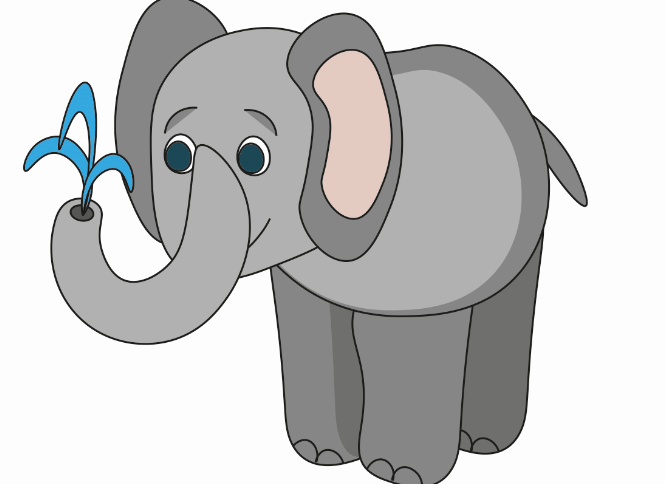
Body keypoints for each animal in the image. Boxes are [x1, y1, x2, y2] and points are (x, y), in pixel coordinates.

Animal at [47, 1, 588, 483]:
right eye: (176, 155)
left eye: (253, 158)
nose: (83, 210)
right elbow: (311, 325)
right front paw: (319, 456)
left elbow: (398, 342)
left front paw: (398, 473)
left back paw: (484, 443)